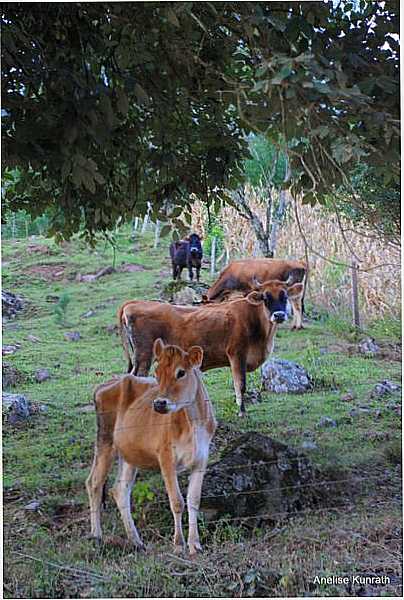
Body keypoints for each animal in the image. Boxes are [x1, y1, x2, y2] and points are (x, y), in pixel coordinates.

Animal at [86, 340, 216, 556]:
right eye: (157, 372)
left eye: (181, 372)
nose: (159, 403)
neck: (194, 420)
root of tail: (105, 385)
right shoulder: (166, 457)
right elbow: (177, 501)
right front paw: (178, 544)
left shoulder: (201, 460)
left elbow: (194, 500)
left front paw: (195, 544)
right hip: (105, 440)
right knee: (94, 482)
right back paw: (96, 535)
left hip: (128, 454)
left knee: (119, 490)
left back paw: (136, 540)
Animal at [117, 278, 304, 414]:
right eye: (265, 297)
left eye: (284, 296)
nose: (279, 315)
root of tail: (133, 303)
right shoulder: (237, 353)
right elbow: (240, 384)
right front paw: (241, 411)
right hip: (144, 356)